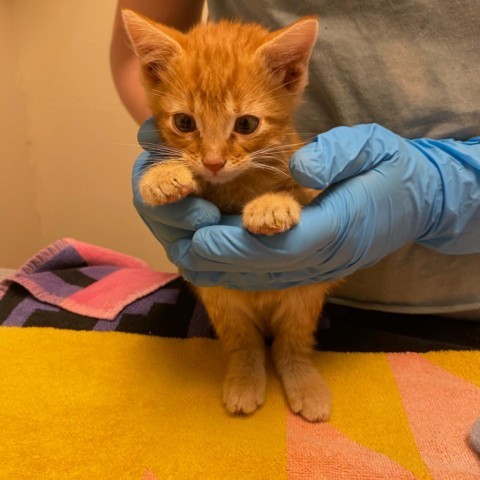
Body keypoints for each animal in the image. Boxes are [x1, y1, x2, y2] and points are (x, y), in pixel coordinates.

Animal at [123, 9, 338, 422]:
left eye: (246, 124)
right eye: (184, 123)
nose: (213, 162)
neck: (237, 185)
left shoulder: (308, 183)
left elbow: (303, 196)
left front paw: (271, 204)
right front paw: (161, 176)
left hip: (305, 293)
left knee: (291, 343)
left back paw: (304, 382)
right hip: (220, 297)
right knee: (245, 343)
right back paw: (245, 378)